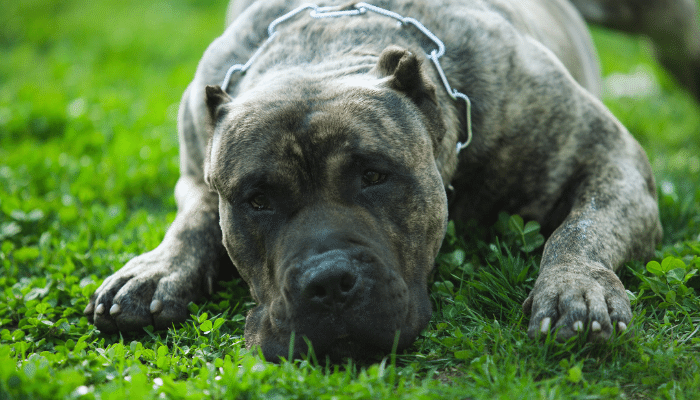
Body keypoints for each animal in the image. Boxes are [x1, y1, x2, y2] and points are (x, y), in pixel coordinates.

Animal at [85, 0, 696, 360]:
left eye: (375, 175)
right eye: (256, 200)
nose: (328, 282)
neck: (330, 51)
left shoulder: (610, 158)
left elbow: (580, 230)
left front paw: (575, 289)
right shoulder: (197, 170)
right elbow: (192, 221)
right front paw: (154, 271)